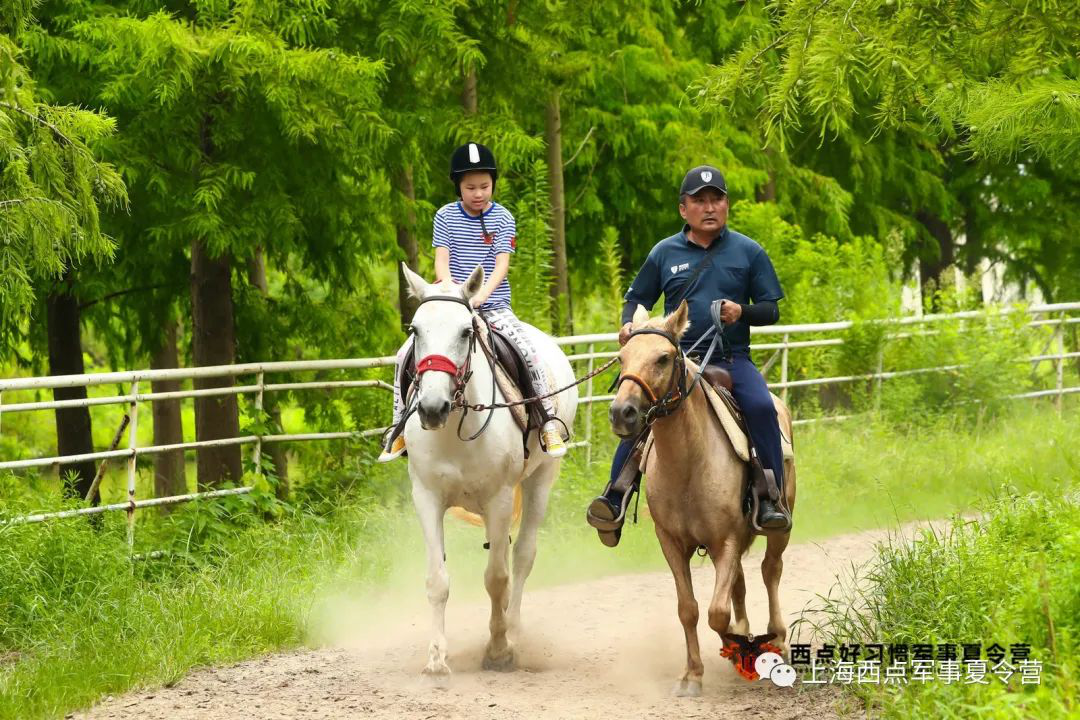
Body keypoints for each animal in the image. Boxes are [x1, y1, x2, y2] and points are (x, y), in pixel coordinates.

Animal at [401, 264, 578, 677]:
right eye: (415, 330)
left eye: (466, 331)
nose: (431, 408)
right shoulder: (426, 497)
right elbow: (437, 579)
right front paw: (437, 658)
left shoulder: (499, 499)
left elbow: (497, 578)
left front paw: (499, 650)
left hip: (542, 480)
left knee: (522, 556)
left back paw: (513, 629)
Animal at [613, 302, 799, 695]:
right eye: (622, 357)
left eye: (663, 357)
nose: (622, 413)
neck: (688, 463)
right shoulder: (671, 541)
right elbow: (690, 608)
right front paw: (692, 674)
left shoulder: (725, 539)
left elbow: (717, 613)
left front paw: (738, 646)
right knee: (740, 581)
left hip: (780, 528)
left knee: (770, 570)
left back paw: (777, 639)